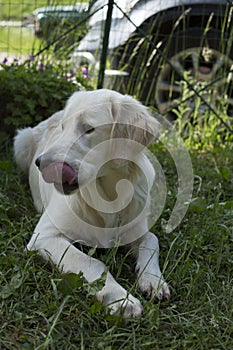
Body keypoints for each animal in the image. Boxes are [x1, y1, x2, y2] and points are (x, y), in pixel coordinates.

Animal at [14, 89, 170, 318]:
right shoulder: (44, 236)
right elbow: (93, 262)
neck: (109, 193)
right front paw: (121, 299)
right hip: (21, 140)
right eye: (63, 128)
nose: (40, 163)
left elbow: (152, 239)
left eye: (88, 129)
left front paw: (154, 281)